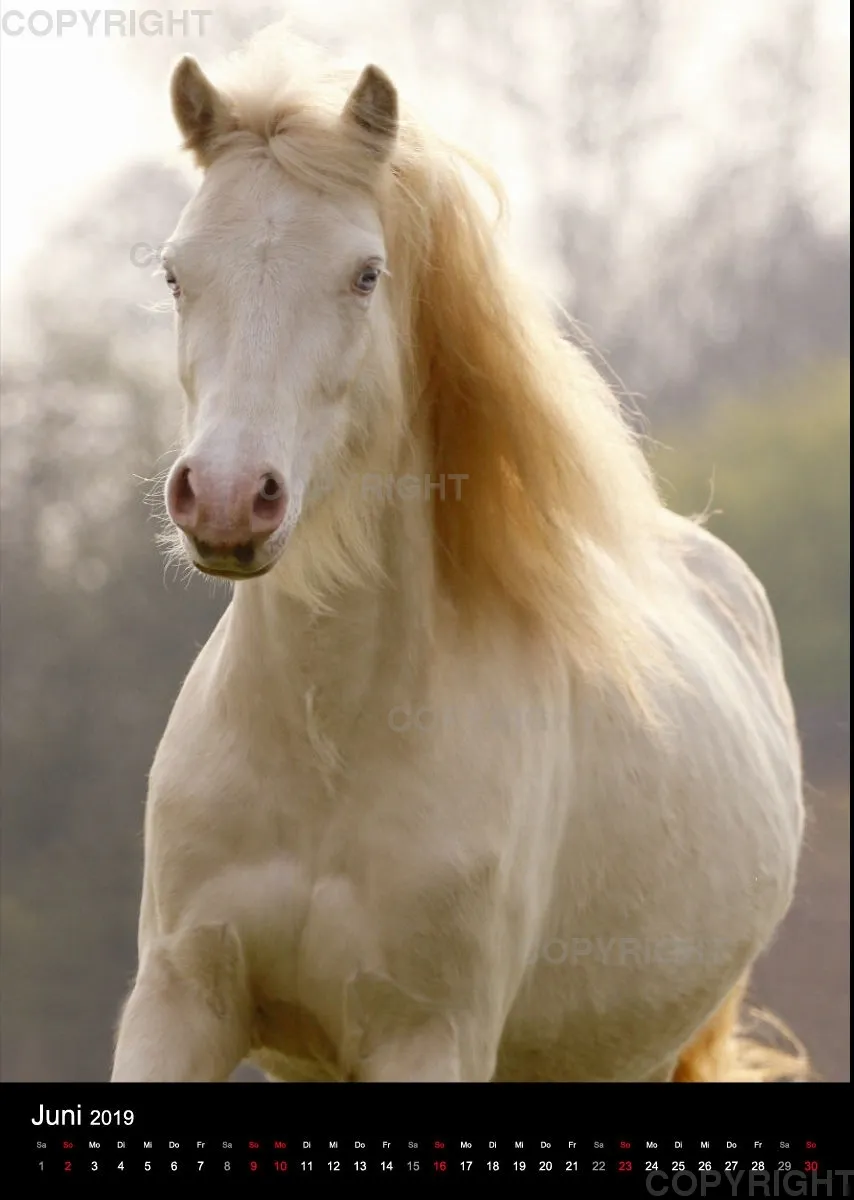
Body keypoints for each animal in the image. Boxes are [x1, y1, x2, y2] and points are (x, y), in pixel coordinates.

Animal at [111, 35, 807, 1084]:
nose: (229, 497)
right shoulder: (180, 1003)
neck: (330, 742)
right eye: (175, 273)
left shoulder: (430, 1036)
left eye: (366, 273)